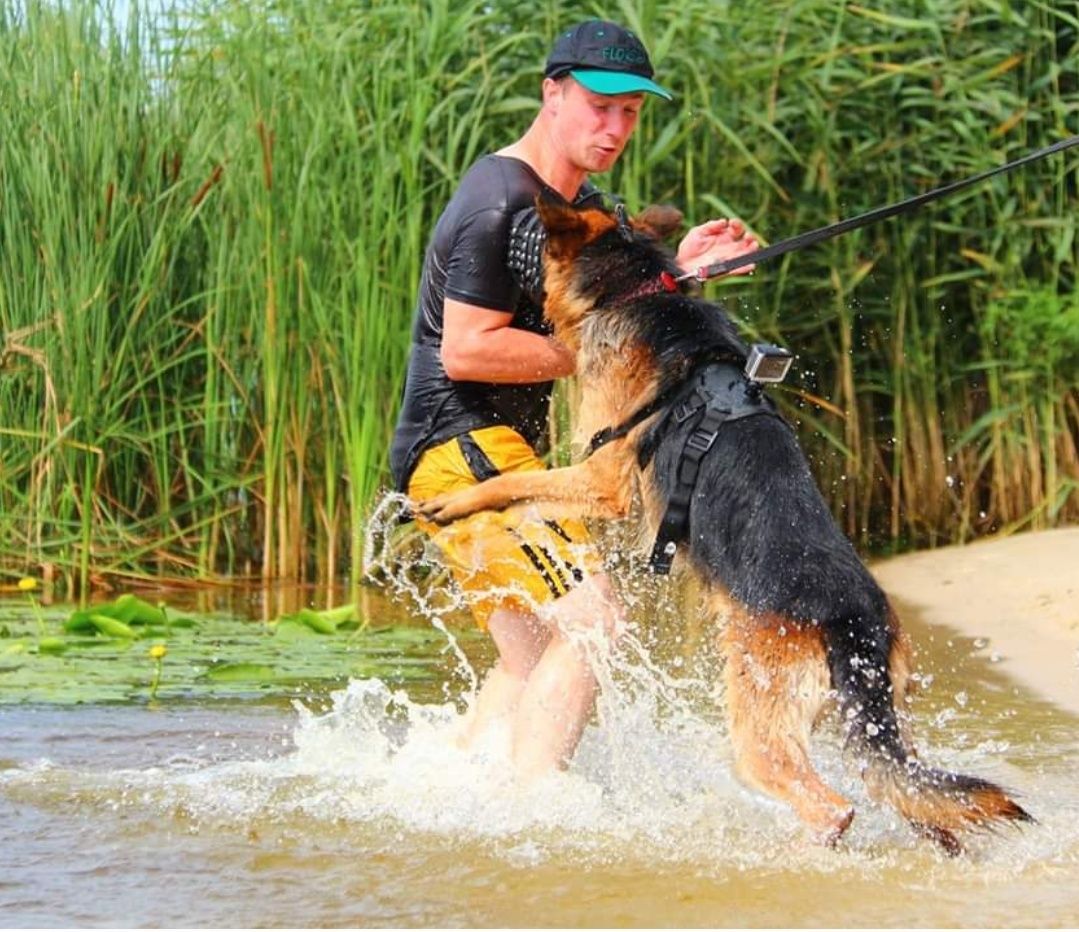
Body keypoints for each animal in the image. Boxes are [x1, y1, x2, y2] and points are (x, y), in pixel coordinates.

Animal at [416, 195, 1031, 850]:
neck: (634, 287)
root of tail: (851, 620)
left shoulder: (603, 475)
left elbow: (510, 482)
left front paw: (453, 503)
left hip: (756, 724)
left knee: (831, 807)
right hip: (877, 732)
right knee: (916, 797)